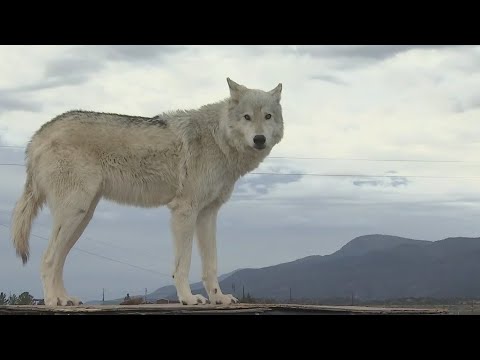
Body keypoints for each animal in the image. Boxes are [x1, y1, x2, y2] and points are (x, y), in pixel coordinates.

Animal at [9, 78, 284, 306]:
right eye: (247, 117)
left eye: (268, 116)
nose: (259, 139)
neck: (218, 139)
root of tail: (38, 135)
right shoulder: (184, 211)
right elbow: (183, 264)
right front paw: (188, 299)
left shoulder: (207, 214)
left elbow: (211, 265)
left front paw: (219, 298)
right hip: (74, 214)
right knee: (48, 260)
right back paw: (52, 301)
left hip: (81, 218)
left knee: (58, 261)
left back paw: (65, 299)